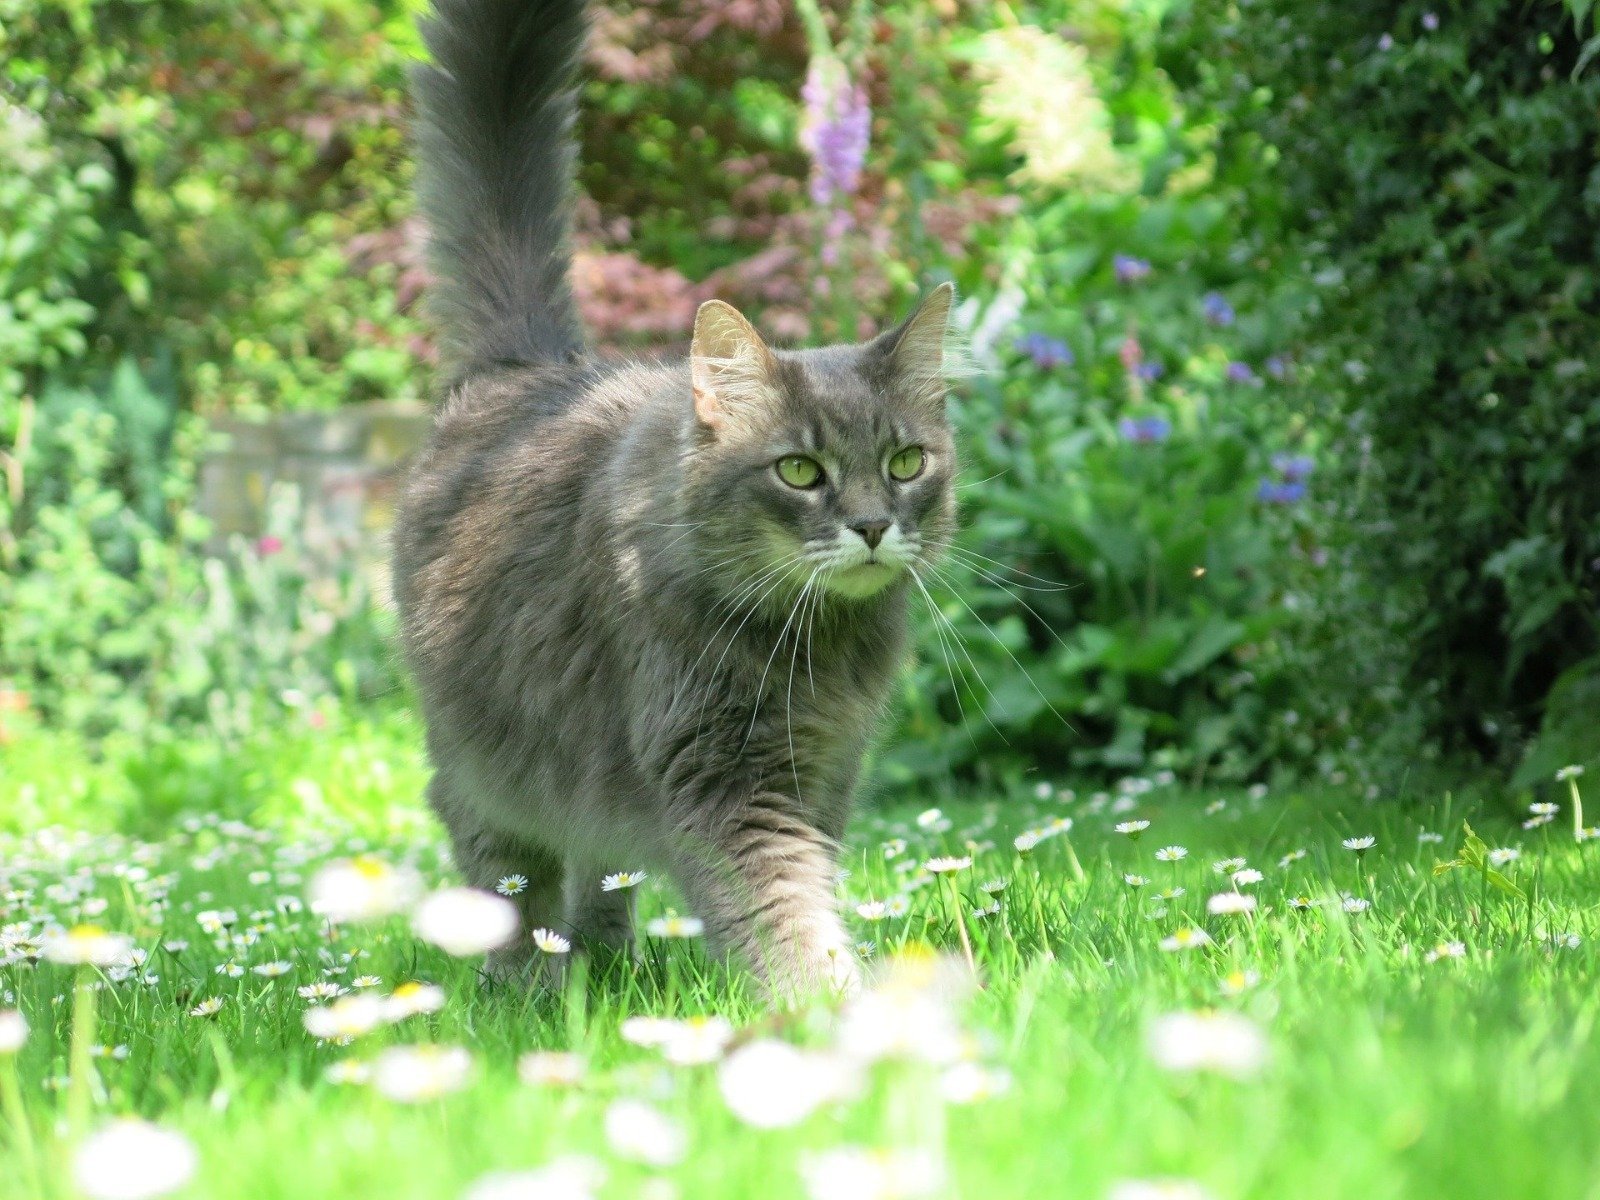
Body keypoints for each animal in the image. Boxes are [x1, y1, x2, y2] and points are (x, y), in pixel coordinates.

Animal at [393, 0, 953, 998]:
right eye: (799, 472)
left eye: (904, 463)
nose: (872, 526)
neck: (815, 645)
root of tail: (527, 368)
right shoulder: (726, 777)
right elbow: (784, 913)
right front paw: (830, 1012)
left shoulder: (824, 770)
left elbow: (802, 890)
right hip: (489, 754)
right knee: (503, 862)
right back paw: (523, 984)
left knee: (598, 864)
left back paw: (601, 959)